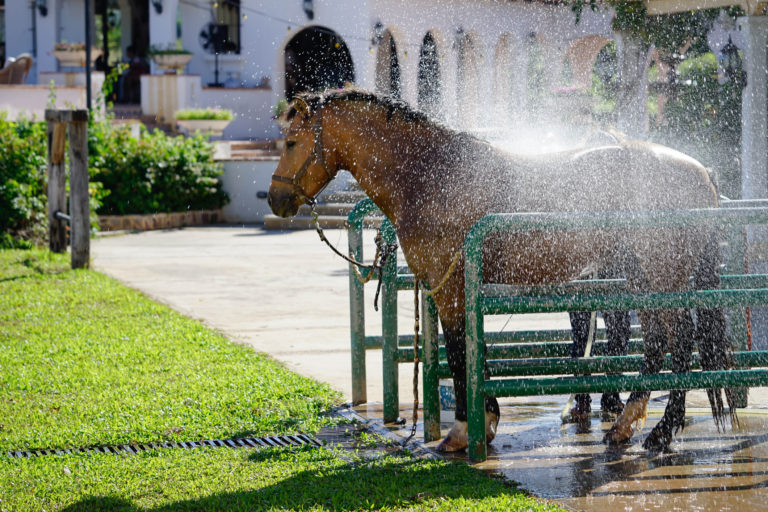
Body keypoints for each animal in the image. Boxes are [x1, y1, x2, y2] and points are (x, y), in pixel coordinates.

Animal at [267, 88, 736, 453]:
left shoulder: (450, 287)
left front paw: (463, 432)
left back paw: (659, 434)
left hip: (662, 279)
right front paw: (486, 422)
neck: (430, 175)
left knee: (680, 345)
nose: (276, 199)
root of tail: (701, 172)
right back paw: (626, 427)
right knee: (657, 345)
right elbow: (472, 350)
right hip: (643, 280)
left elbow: (459, 351)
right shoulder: (453, 286)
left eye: (291, 142)